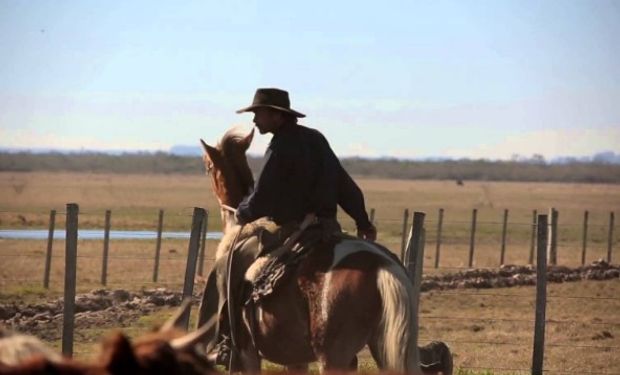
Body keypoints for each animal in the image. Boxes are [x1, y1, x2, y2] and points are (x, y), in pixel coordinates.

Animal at [201, 128, 424, 374]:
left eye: (208, 165)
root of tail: (380, 265)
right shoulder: (295, 358)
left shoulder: (248, 354)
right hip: (381, 351)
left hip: (333, 357)